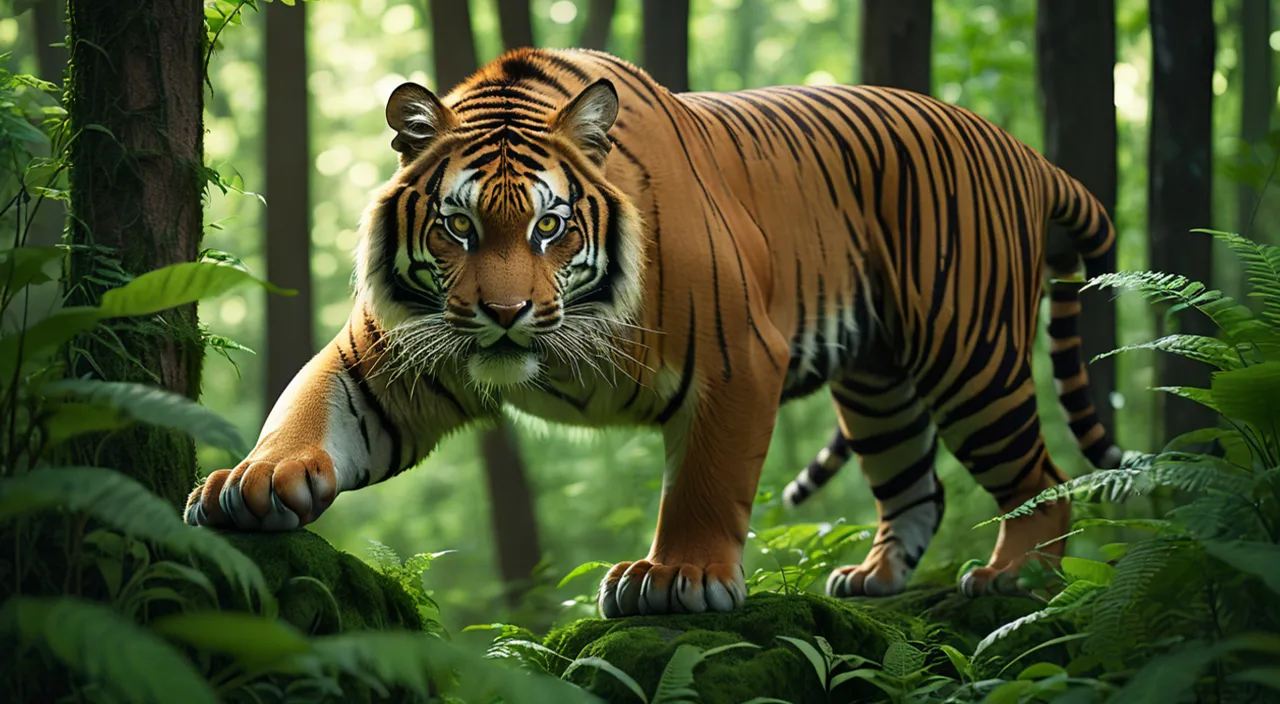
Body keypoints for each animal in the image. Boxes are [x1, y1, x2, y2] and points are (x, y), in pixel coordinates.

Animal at [183, 47, 1121, 619]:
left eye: (549, 228)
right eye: (457, 229)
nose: (504, 314)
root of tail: (1023, 151)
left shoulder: (741, 359)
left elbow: (705, 483)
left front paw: (676, 580)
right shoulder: (388, 359)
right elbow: (308, 404)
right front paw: (254, 482)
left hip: (970, 357)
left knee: (1044, 477)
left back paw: (1013, 577)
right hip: (880, 387)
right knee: (914, 485)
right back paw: (874, 579)